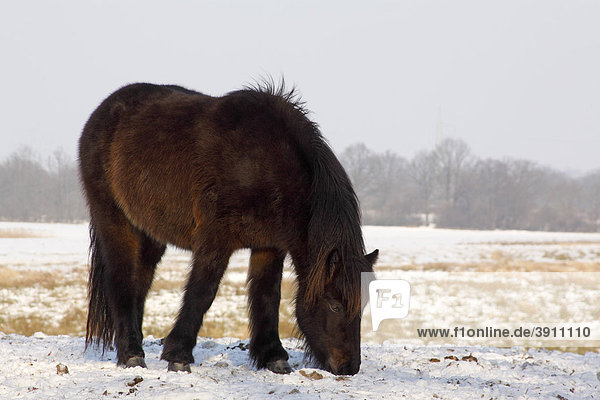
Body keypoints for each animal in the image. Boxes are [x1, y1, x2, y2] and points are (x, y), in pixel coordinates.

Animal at [79, 80, 378, 376]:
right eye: (335, 305)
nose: (349, 367)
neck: (265, 165)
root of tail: (102, 112)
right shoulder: (215, 240)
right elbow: (203, 292)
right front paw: (179, 355)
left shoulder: (269, 246)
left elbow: (267, 296)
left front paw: (273, 357)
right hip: (115, 220)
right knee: (122, 280)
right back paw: (131, 353)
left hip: (150, 233)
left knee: (140, 282)